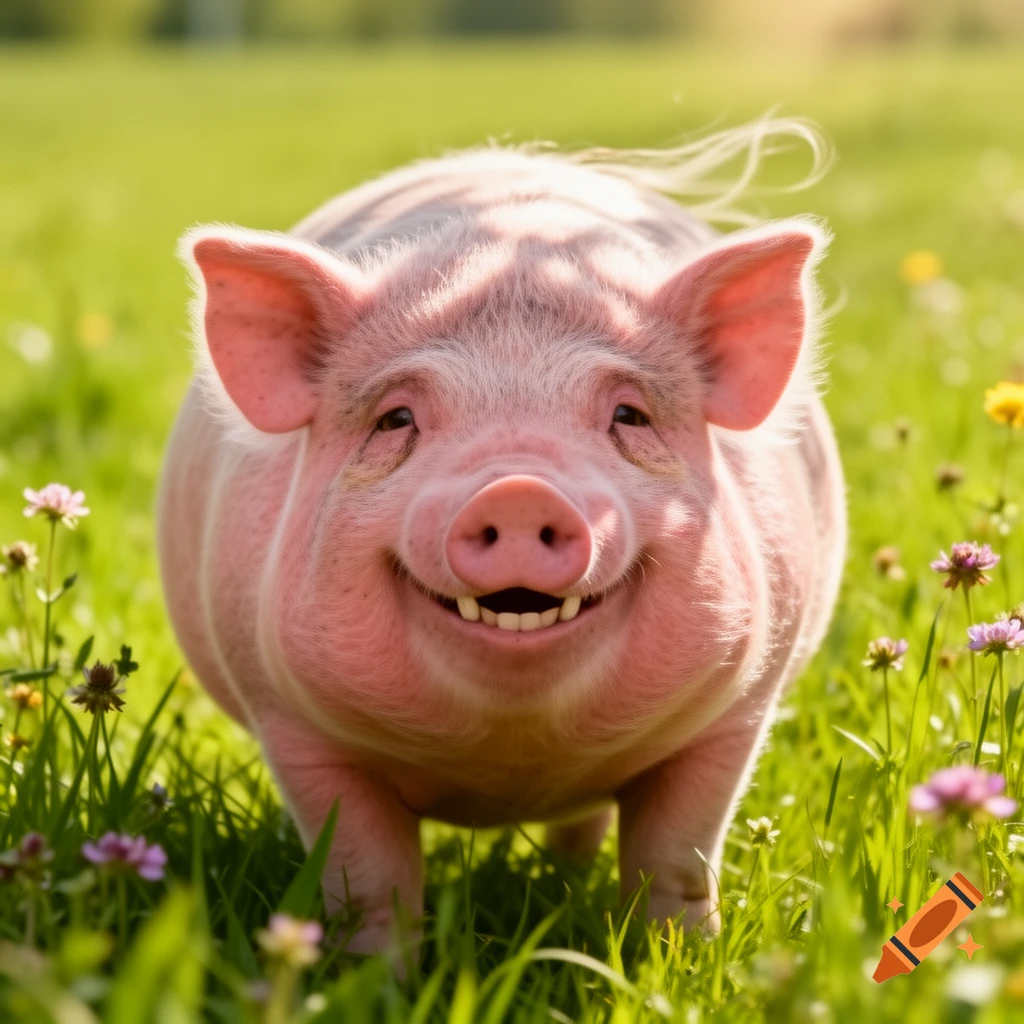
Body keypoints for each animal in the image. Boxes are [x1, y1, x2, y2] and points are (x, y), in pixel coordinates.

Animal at [157, 137, 846, 955]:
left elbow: (678, 861)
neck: (512, 761)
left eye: (628, 415)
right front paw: (370, 971)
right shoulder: (295, 730)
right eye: (396, 420)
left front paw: (677, 961)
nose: (518, 490)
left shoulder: (734, 716)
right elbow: (369, 880)